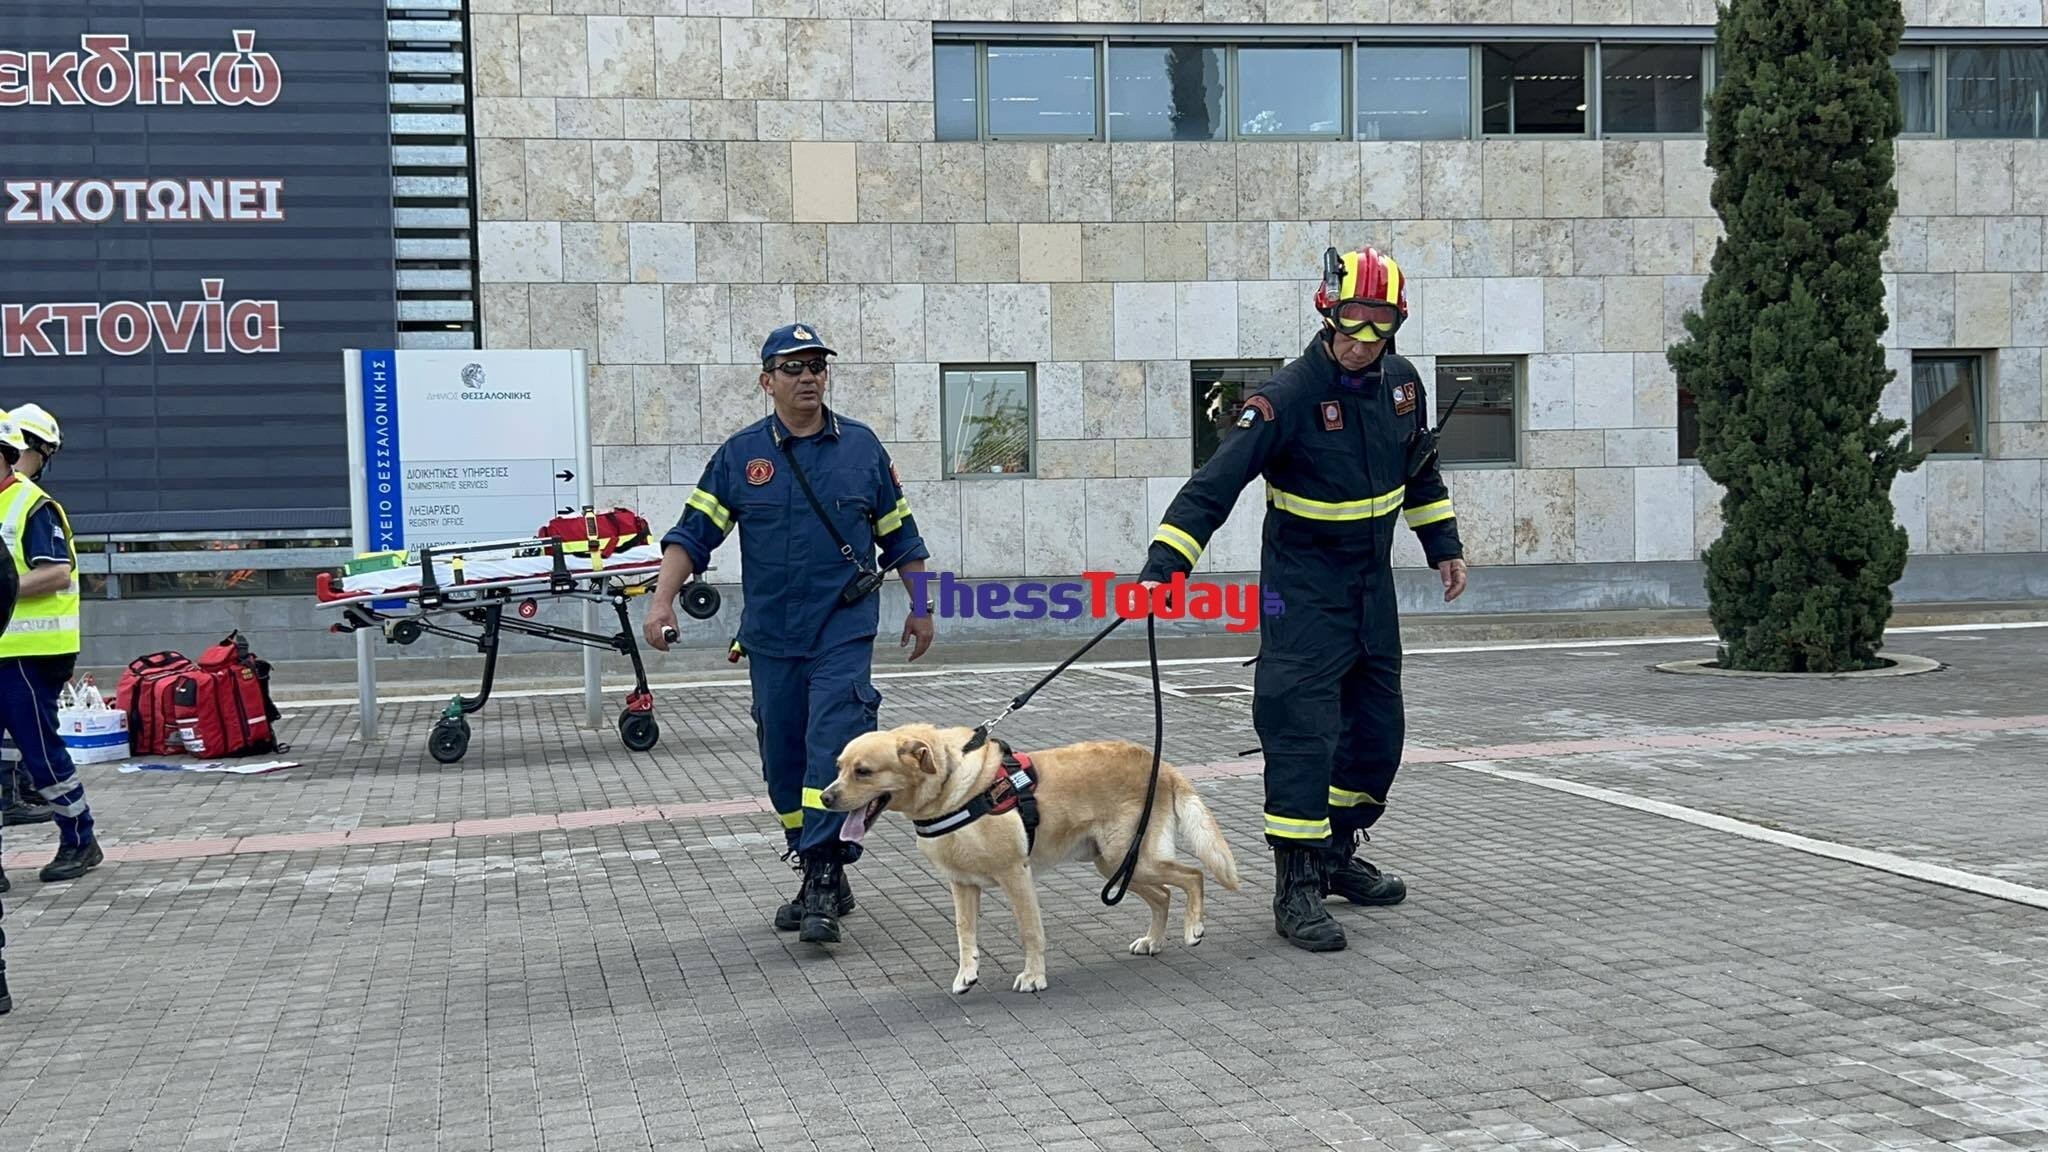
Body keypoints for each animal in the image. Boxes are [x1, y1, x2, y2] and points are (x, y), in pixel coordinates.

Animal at [819, 721, 1236, 992]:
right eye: (839, 768)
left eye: (863, 771)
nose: (824, 797)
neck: (954, 788)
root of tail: (1160, 764)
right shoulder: (962, 884)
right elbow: (964, 932)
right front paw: (966, 974)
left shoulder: (1015, 875)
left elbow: (1030, 931)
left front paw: (1035, 976)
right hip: (1115, 865)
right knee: (1164, 894)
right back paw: (1154, 940)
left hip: (1129, 858)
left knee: (1193, 875)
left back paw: (1193, 928)